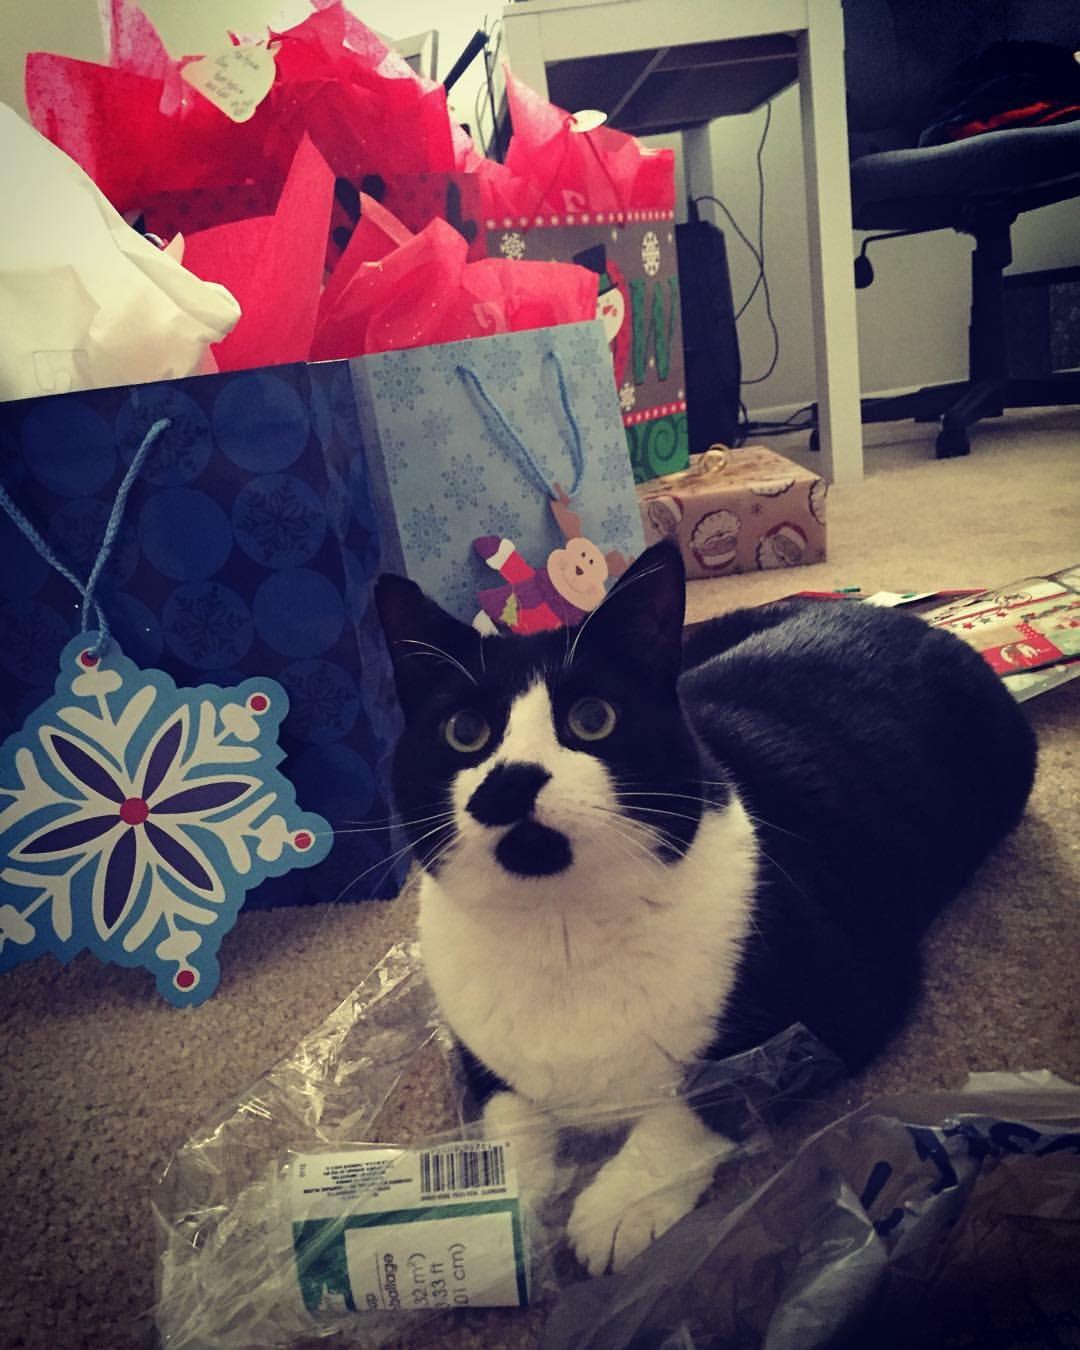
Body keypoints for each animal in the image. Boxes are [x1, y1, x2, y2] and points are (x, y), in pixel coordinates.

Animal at [372, 540, 1036, 1274]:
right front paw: (488, 1223)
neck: (562, 926)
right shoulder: (472, 1044)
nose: (512, 780)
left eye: (593, 719)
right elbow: (504, 1118)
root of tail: (918, 620)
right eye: (464, 731)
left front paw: (620, 1204)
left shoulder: (848, 1000)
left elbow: (711, 1098)